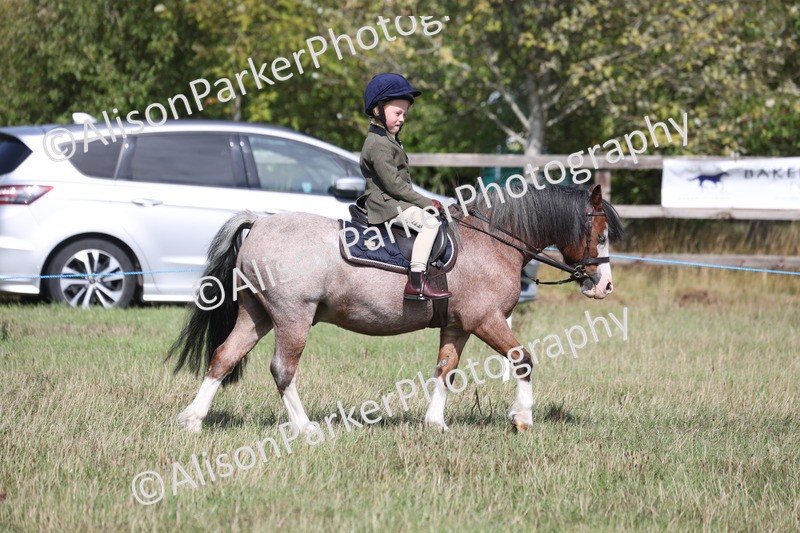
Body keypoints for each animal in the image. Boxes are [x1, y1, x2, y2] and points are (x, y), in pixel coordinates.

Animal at [169, 183, 623, 433]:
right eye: (600, 234)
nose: (605, 285)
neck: (493, 240)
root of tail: (260, 222)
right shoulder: (486, 320)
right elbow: (523, 359)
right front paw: (522, 418)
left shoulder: (458, 326)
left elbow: (445, 370)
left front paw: (435, 423)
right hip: (293, 318)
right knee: (283, 370)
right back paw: (304, 427)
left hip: (257, 316)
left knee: (223, 357)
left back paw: (193, 419)